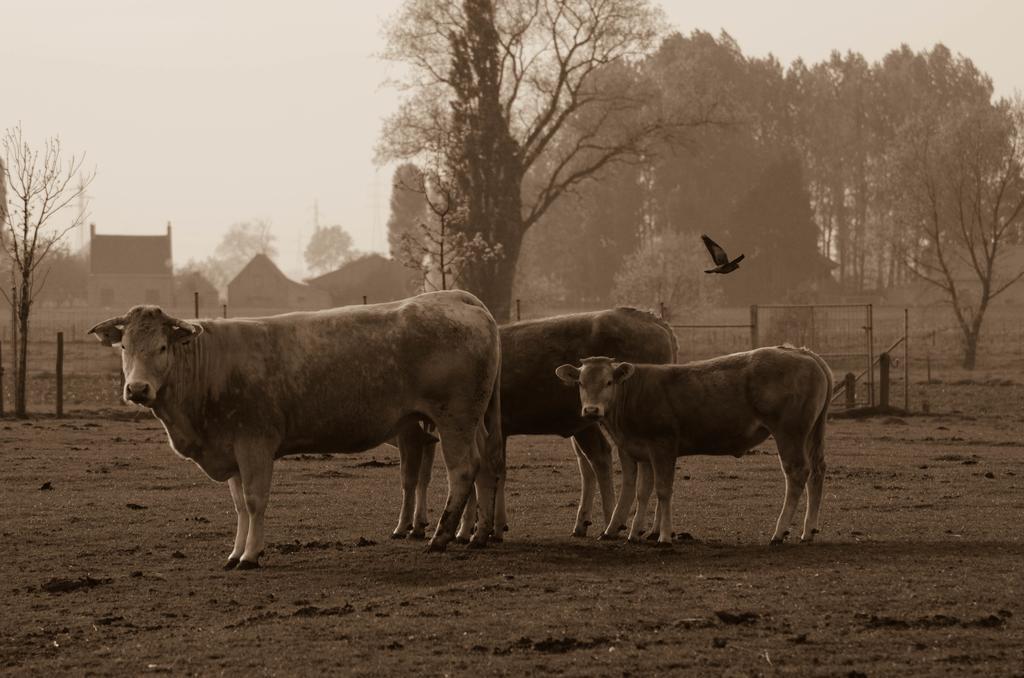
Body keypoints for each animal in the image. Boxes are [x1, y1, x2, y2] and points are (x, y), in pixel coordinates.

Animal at [92, 288, 503, 569]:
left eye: (162, 347)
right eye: (124, 347)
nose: (137, 389)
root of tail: (456, 297)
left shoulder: (254, 443)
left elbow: (255, 501)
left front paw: (251, 556)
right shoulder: (231, 449)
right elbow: (239, 505)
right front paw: (235, 551)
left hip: (454, 418)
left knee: (463, 469)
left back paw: (441, 537)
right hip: (473, 421)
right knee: (487, 463)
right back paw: (478, 534)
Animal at [393, 311, 679, 544]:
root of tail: (654, 320)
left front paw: (461, 529)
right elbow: (493, 473)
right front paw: (491, 526)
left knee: (622, 465)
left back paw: (615, 524)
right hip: (588, 426)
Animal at [561, 348, 831, 548]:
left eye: (608, 382)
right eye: (581, 383)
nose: (591, 410)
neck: (634, 394)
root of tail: (801, 352)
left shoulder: (663, 446)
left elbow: (663, 491)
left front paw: (664, 536)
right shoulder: (635, 450)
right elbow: (639, 491)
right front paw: (627, 532)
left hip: (790, 433)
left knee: (797, 473)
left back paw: (779, 532)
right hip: (811, 434)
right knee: (817, 471)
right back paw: (808, 530)